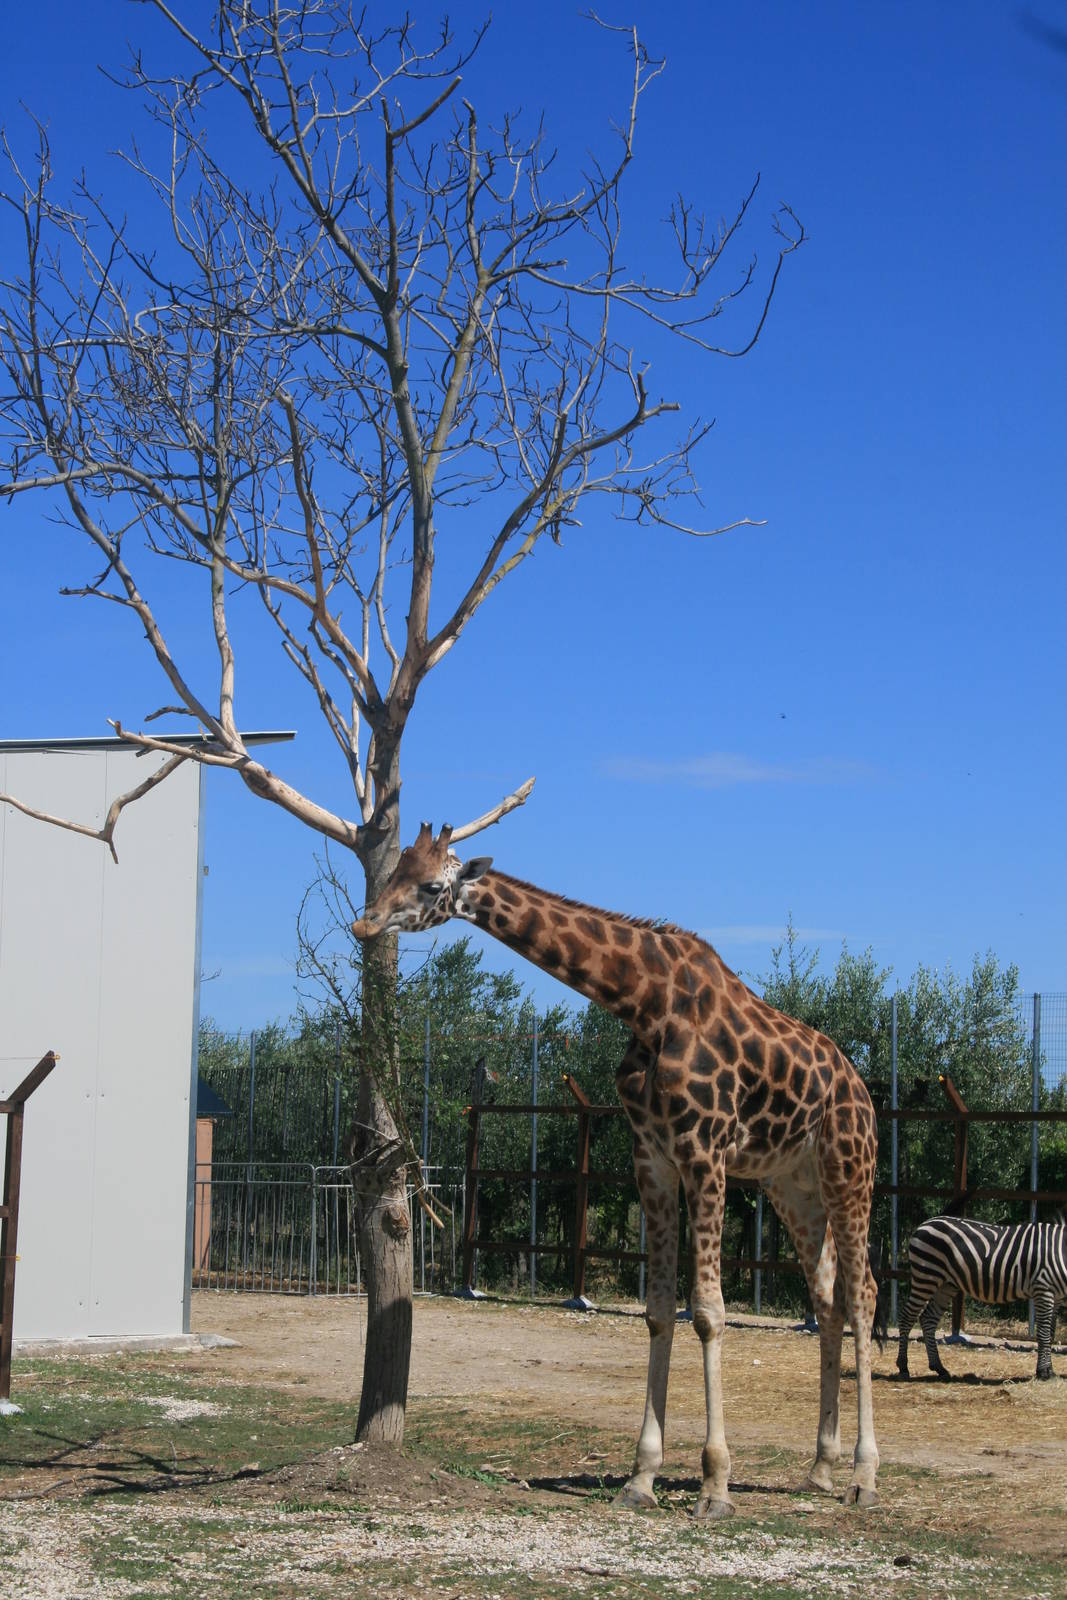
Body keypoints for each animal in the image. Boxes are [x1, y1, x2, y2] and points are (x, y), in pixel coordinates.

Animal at [352, 824, 881, 1517]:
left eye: (431, 885)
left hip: (850, 1171)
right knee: (828, 1300)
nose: (364, 923)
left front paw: (715, 1485)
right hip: (793, 1187)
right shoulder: (651, 1158)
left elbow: (706, 1311)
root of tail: (862, 1088)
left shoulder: (704, 1151)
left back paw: (865, 1476)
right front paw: (641, 1477)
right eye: (392, 871)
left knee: (864, 1296)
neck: (644, 1003)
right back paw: (820, 1468)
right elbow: (657, 1311)